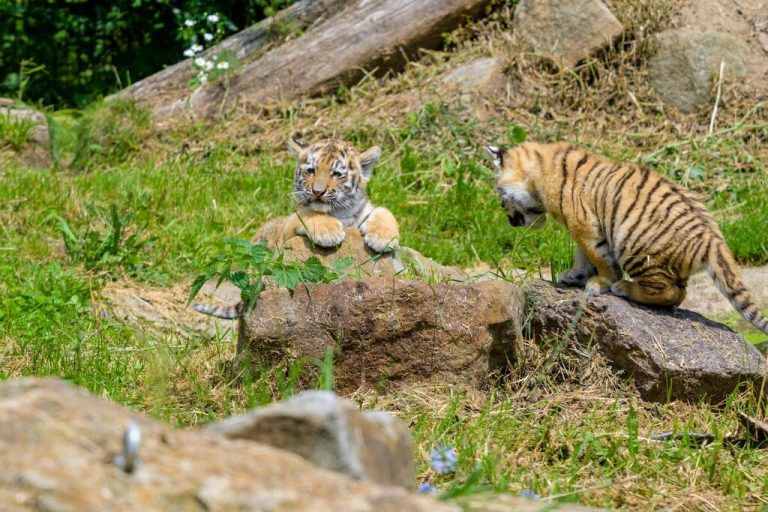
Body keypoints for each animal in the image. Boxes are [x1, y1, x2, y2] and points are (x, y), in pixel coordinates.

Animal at [193, 135, 400, 319]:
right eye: (311, 170)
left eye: (336, 174)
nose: (318, 192)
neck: (340, 213)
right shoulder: (291, 224)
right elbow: (312, 214)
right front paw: (330, 233)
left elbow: (383, 211)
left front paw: (383, 239)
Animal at [485, 141, 768, 335]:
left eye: (500, 199)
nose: (510, 222)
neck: (538, 172)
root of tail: (713, 240)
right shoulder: (580, 227)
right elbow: (582, 255)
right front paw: (574, 276)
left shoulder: (583, 224)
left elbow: (598, 255)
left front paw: (600, 283)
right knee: (679, 293)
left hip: (634, 246)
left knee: (669, 291)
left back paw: (624, 288)